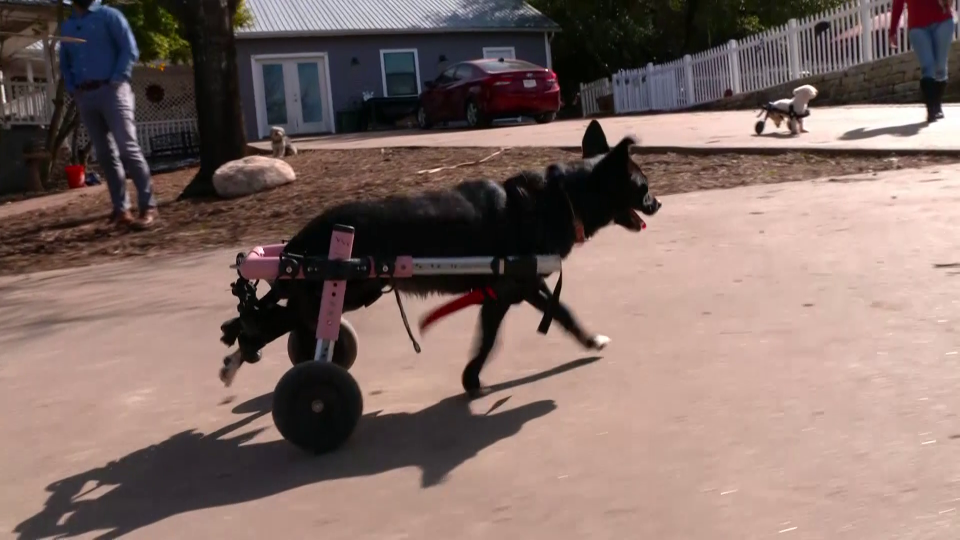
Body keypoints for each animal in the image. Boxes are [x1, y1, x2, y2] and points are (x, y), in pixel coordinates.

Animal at [221, 122, 664, 398]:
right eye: (643, 186)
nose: (657, 203)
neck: (563, 197)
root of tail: (299, 244)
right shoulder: (510, 291)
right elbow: (499, 337)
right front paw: (473, 379)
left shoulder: (516, 290)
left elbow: (555, 317)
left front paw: (588, 340)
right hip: (342, 291)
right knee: (265, 323)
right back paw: (236, 355)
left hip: (338, 296)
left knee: (275, 322)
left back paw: (236, 350)